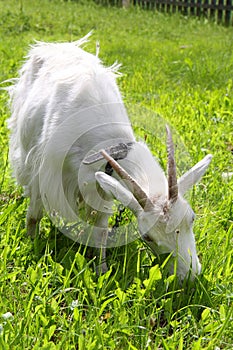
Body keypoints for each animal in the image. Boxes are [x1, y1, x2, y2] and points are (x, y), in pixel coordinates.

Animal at [7, 34, 212, 278]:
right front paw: (33, 244)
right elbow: (34, 215)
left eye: (192, 218)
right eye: (147, 237)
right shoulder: (45, 175)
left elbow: (102, 231)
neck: (110, 144)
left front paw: (102, 269)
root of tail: (57, 46)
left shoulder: (101, 184)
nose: (190, 275)